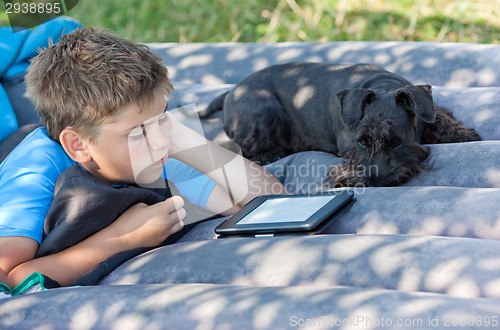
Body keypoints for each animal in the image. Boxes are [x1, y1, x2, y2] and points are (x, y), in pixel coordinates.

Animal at [200, 62, 480, 186]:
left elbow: (440, 117)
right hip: (264, 109)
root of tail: (230, 93)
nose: (376, 178)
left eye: (397, 142)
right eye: (362, 142)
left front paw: (463, 134)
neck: (383, 86)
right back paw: (269, 153)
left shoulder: (427, 109)